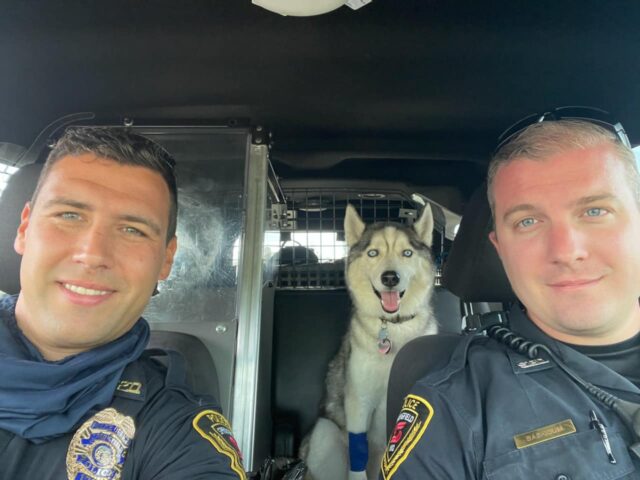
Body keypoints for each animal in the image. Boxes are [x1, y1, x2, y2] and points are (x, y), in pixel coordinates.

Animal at [302, 203, 440, 480]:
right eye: (373, 253)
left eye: (407, 253)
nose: (390, 278)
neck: (394, 328)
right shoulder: (359, 402)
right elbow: (358, 457)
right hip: (325, 435)